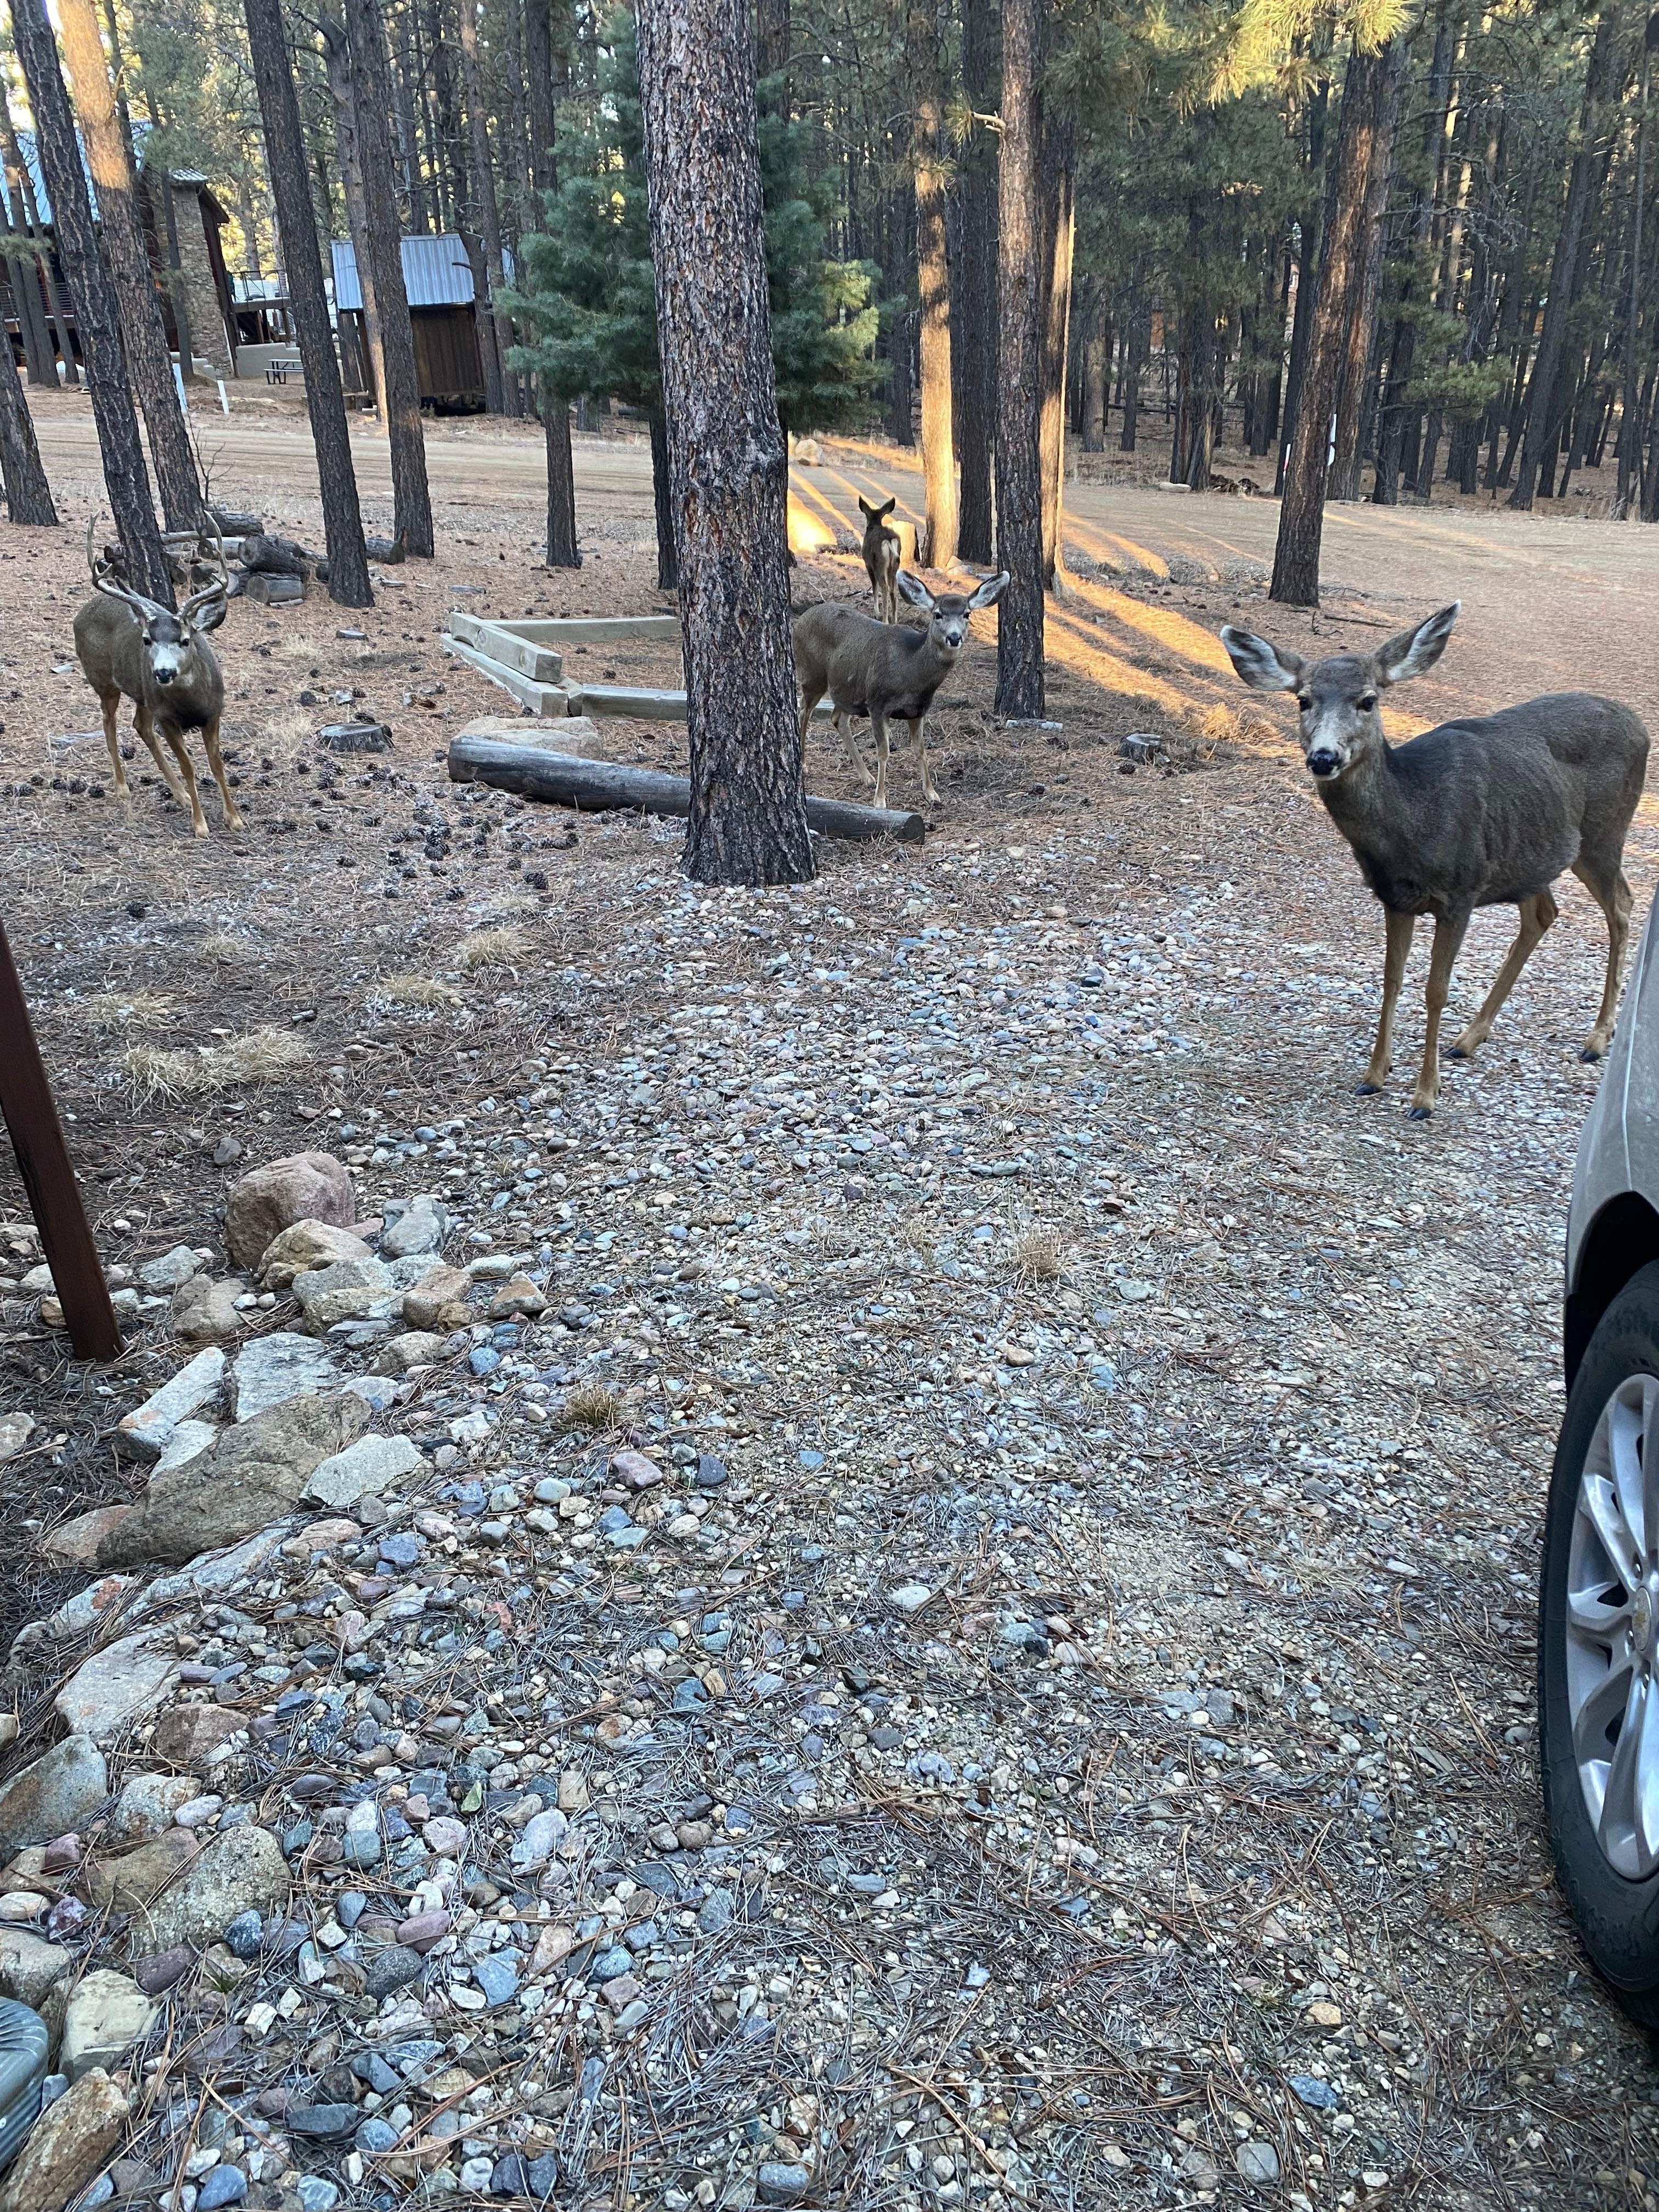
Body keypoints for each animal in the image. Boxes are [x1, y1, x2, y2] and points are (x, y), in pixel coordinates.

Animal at [73, 519, 242, 839]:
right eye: (147, 640)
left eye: (186, 640)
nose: (163, 672)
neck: (190, 705)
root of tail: (82, 612)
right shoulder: (167, 718)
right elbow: (189, 766)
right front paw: (200, 825)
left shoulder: (214, 712)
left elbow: (216, 764)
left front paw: (235, 818)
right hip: (104, 680)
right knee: (109, 722)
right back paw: (122, 787)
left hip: (143, 695)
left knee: (139, 725)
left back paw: (180, 794)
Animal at [793, 569, 1009, 811]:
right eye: (937, 614)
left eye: (967, 614)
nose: (954, 638)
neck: (910, 672)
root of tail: (801, 620)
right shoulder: (877, 703)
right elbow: (884, 752)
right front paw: (880, 800)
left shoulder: (918, 710)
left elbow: (921, 750)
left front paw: (932, 794)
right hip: (813, 675)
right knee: (804, 712)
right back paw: (804, 765)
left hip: (848, 689)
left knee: (837, 718)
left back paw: (866, 777)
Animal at [858, 494, 901, 623]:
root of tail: (889, 540)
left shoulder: (868, 564)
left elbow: (874, 587)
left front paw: (876, 613)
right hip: (895, 566)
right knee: (893, 590)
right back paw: (894, 621)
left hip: (880, 564)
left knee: (885, 587)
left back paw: (885, 621)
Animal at [1219, 602, 1649, 1118]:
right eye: (1303, 699)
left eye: (1368, 700)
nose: (1324, 757)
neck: (1414, 822)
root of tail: (1640, 724)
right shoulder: (1394, 897)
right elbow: (1391, 980)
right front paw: (1374, 1076)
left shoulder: (1461, 891)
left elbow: (1436, 990)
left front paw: (1424, 1095)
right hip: (1529, 854)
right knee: (1544, 913)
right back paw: (1468, 1039)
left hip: (1604, 833)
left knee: (1622, 905)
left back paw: (1597, 1039)